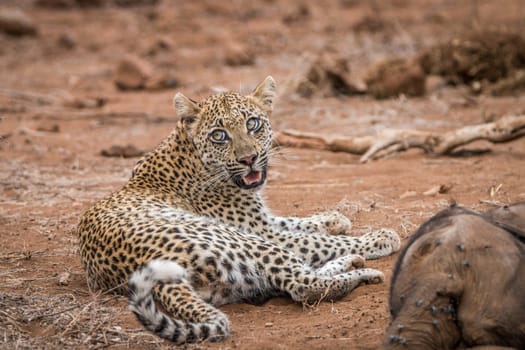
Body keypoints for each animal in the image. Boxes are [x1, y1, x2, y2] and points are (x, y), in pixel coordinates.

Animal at [75, 77, 400, 344]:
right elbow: (319, 240)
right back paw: (363, 270)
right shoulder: (261, 230)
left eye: (253, 124)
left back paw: (350, 263)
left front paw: (335, 218)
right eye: (219, 135)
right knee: (303, 284)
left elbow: (298, 222)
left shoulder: (262, 221)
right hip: (239, 240)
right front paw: (381, 237)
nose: (248, 159)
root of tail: (162, 280)